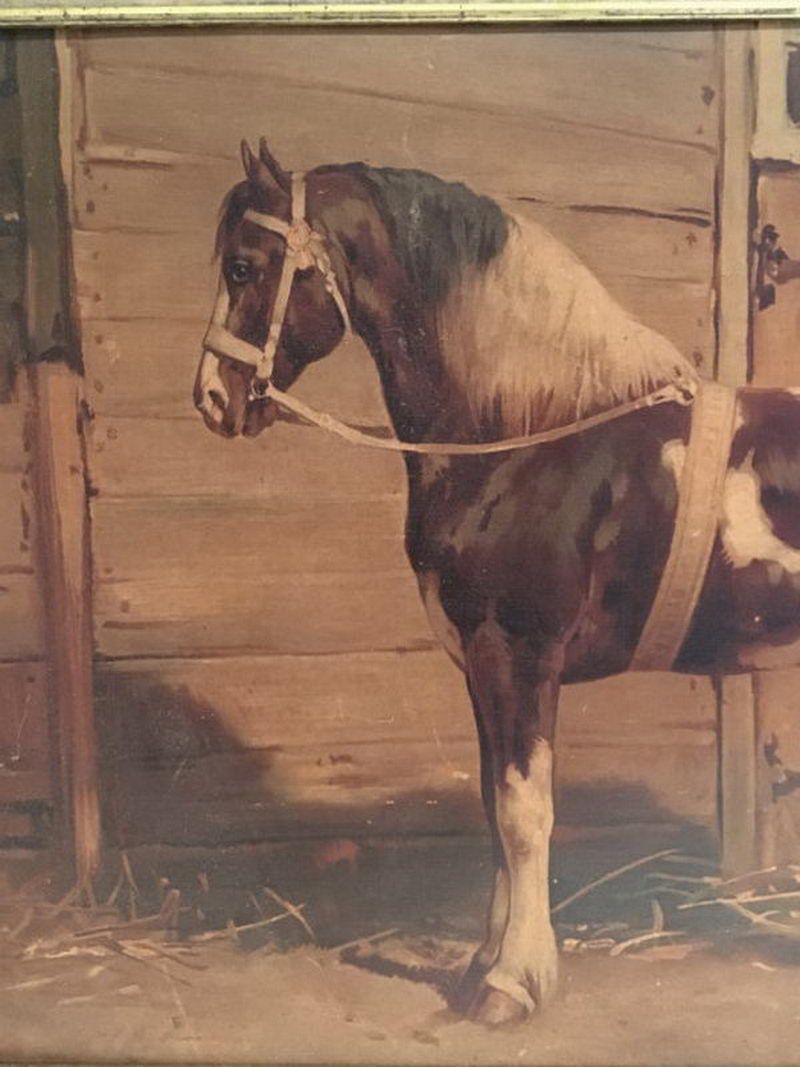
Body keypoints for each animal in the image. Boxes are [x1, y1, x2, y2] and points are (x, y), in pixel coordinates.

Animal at [196, 139, 800, 1024]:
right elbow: (492, 806)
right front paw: (484, 960)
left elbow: (523, 812)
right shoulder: (481, 665)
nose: (212, 398)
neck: (532, 432)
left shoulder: (520, 653)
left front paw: (512, 980)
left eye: (244, 265)